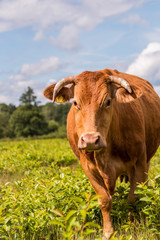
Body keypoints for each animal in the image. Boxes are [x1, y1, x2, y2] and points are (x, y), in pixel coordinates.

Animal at [43, 68, 160, 239]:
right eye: (75, 103)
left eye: (108, 102)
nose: (91, 140)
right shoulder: (87, 167)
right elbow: (104, 199)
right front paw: (108, 231)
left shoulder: (139, 162)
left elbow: (134, 197)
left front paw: (133, 225)